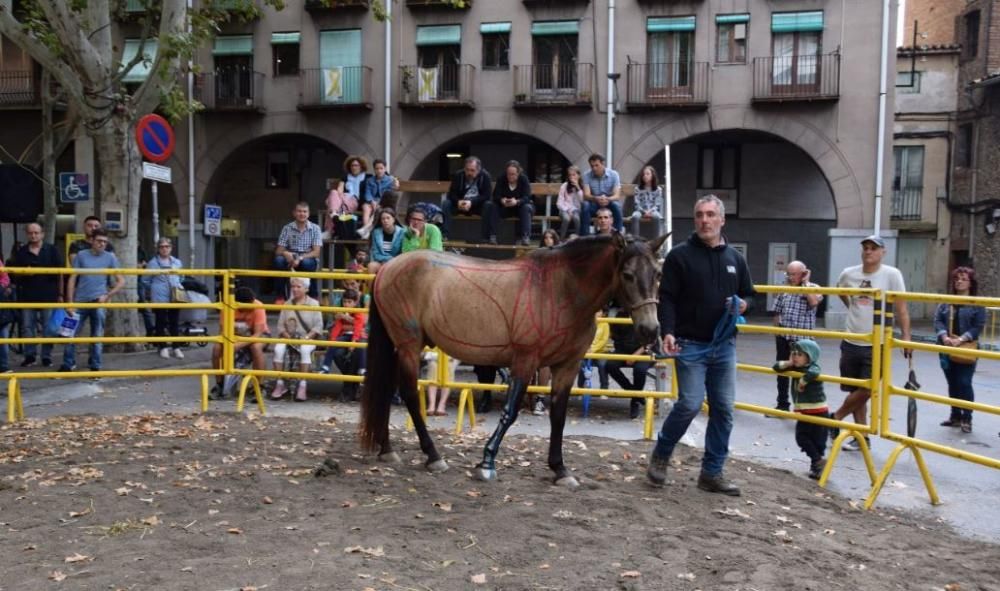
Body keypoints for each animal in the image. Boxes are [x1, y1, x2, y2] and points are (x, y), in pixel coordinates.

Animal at [356, 234, 668, 488]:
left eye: (657, 273)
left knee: (388, 390)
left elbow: (558, 416)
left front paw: (560, 469)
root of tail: (387, 268)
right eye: (627, 274)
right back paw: (432, 455)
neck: (561, 290)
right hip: (408, 346)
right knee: (409, 393)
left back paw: (387, 450)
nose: (650, 330)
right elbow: (510, 412)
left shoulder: (566, 367)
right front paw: (486, 463)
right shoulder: (525, 361)